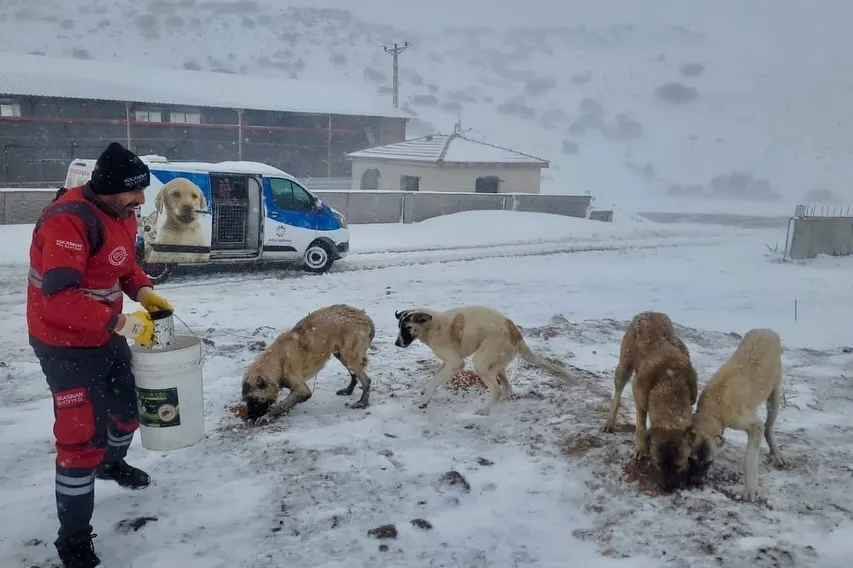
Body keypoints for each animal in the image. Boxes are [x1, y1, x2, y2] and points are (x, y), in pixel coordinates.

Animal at [240, 304, 372, 424]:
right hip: (340, 355)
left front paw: (266, 417)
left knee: (366, 380)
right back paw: (348, 391)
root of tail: (363, 315)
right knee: (355, 375)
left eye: (254, 399)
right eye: (245, 399)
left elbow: (281, 405)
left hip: (349, 357)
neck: (276, 361)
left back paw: (362, 402)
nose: (250, 417)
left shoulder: (302, 390)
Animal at [392, 304, 572, 414]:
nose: (397, 343)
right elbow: (435, 377)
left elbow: (435, 380)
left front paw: (424, 400)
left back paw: (484, 411)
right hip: (496, 365)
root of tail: (515, 332)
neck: (433, 326)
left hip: (481, 362)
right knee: (507, 388)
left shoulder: (455, 363)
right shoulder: (447, 362)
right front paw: (425, 391)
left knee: (497, 389)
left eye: (407, 327)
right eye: (399, 327)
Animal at [604, 310, 696, 492]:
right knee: (617, 394)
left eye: (679, 465)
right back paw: (610, 422)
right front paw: (640, 449)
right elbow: (640, 426)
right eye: (658, 464)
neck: (670, 383)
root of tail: (649, 312)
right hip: (624, 367)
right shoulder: (638, 396)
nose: (667, 489)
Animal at [684, 328, 784, 502]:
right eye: (691, 460)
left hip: (775, 393)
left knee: (768, 426)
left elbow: (749, 461)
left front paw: (751, 490)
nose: (694, 484)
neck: (713, 411)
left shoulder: (750, 424)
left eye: (709, 463)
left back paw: (776, 453)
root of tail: (768, 331)